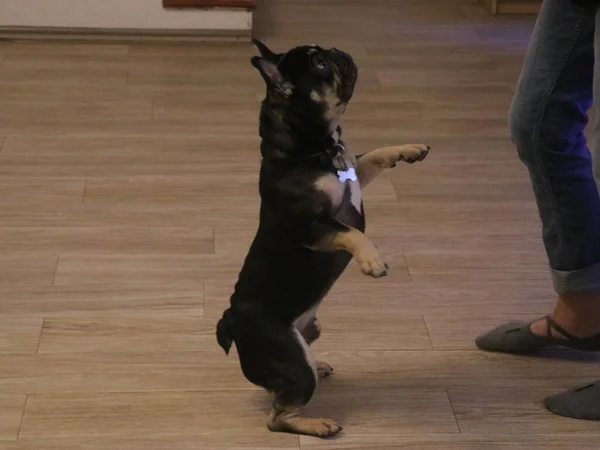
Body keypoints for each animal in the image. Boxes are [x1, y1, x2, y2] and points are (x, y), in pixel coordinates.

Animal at [217, 39, 432, 440]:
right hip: (290, 358)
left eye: (322, 53)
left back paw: (318, 370)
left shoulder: (356, 173)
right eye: (318, 63)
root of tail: (231, 321)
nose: (337, 49)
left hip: (308, 333)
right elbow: (352, 232)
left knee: (278, 389)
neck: (311, 150)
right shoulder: (313, 227)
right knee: (277, 417)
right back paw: (317, 424)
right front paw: (372, 261)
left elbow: (373, 155)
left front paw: (408, 149)